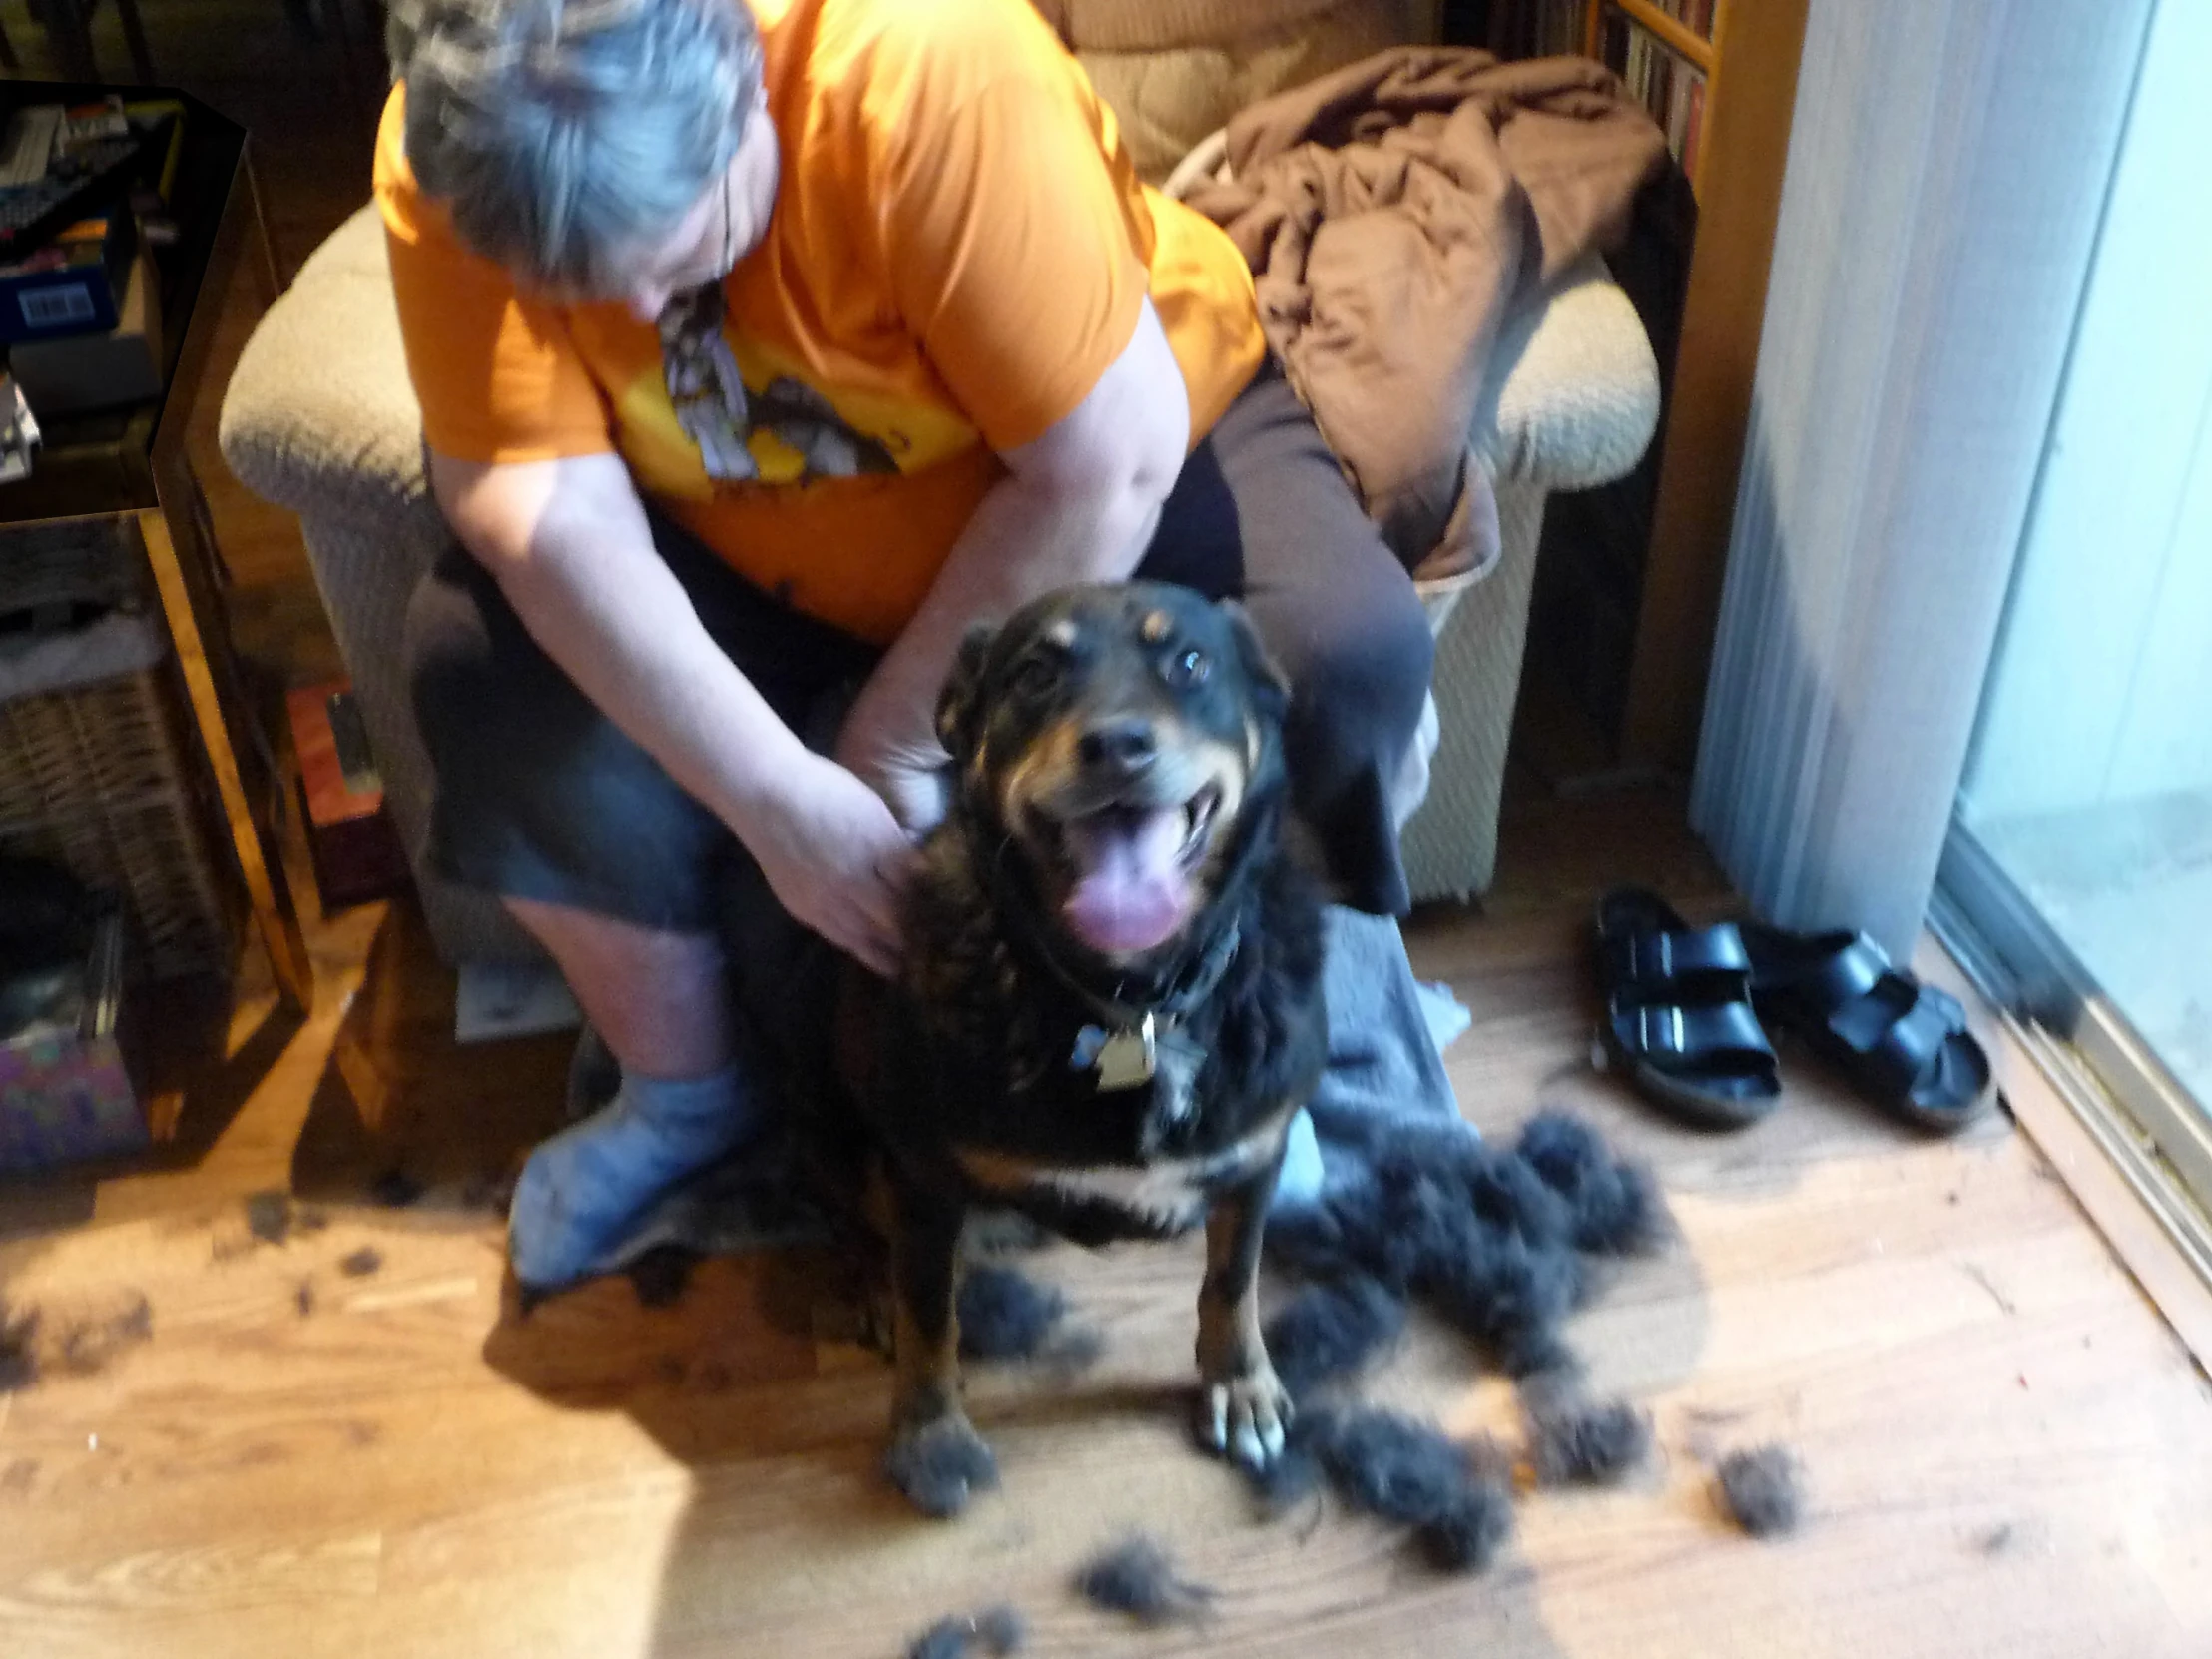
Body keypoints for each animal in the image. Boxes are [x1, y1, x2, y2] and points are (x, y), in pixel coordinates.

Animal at [831, 579, 1318, 1521]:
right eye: (1033, 673)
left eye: (1190, 663)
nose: (1118, 745)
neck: (1132, 1006)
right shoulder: (923, 1171)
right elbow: (928, 1312)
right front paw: (931, 1433)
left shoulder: (1255, 1151)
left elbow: (1233, 1277)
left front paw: (1238, 1381)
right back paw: (865, 1279)